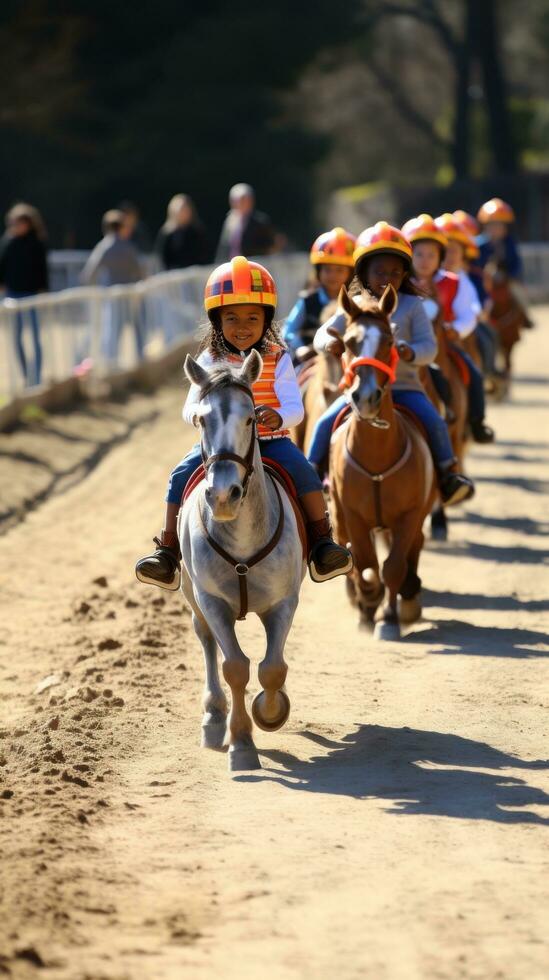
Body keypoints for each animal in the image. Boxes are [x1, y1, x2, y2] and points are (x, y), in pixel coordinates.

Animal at [179, 352, 304, 772]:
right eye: (201, 420)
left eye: (251, 418)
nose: (222, 496)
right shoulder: (212, 601)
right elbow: (234, 666)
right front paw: (242, 743)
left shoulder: (284, 601)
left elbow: (273, 667)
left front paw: (270, 711)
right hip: (192, 596)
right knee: (205, 641)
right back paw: (214, 717)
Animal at [330, 288, 436, 640]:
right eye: (349, 342)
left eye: (390, 340)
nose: (365, 397)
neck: (377, 456)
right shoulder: (354, 516)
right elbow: (365, 566)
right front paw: (367, 607)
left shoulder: (409, 515)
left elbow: (392, 567)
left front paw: (388, 618)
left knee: (412, 551)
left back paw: (408, 598)